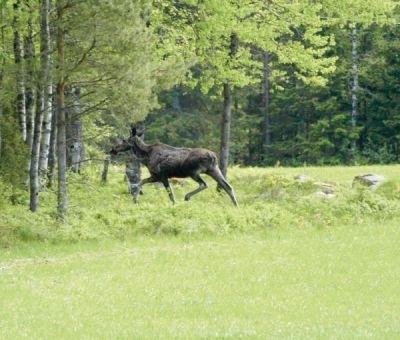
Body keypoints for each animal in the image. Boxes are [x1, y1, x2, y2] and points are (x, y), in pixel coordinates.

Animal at [110, 126, 238, 206]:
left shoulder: (162, 175)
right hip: (213, 170)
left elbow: (170, 193)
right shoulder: (155, 176)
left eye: (124, 140)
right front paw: (135, 200)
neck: (145, 157)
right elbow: (141, 182)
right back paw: (236, 206)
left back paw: (187, 196)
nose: (113, 149)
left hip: (194, 171)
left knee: (204, 184)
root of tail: (213, 156)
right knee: (228, 186)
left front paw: (174, 204)